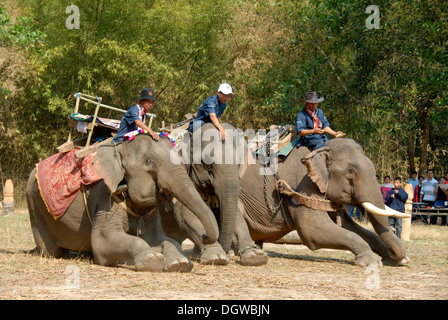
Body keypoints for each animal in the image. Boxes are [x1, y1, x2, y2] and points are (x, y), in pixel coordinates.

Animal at [25, 134, 219, 272]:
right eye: (149, 161)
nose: (204, 236)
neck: (119, 148)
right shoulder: (105, 197)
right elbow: (102, 242)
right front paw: (152, 260)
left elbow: (160, 239)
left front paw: (180, 263)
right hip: (35, 207)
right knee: (51, 250)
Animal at [160, 122, 266, 264]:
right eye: (207, 164)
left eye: (239, 163)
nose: (228, 252)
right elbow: (185, 214)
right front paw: (216, 256)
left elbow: (235, 214)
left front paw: (255, 255)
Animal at [238, 138, 410, 268]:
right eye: (351, 171)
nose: (392, 253)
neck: (322, 149)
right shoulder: (303, 185)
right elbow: (312, 231)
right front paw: (372, 262)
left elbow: (351, 227)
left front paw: (401, 261)